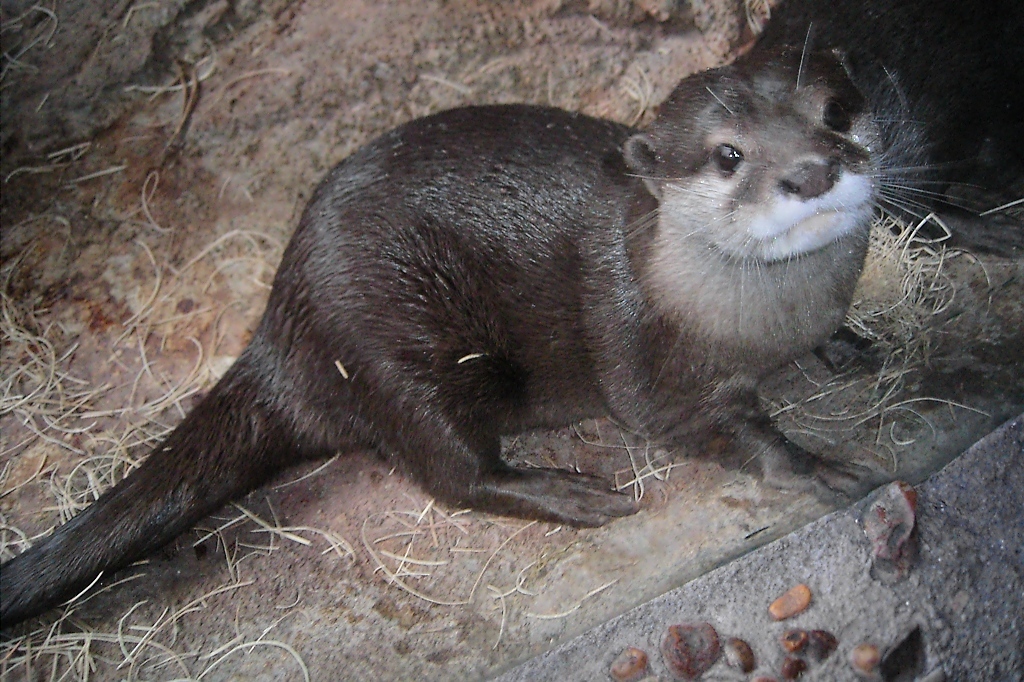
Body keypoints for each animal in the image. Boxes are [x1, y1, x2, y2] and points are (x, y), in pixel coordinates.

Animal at [0, 45, 880, 622]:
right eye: (728, 155)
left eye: (834, 113)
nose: (811, 170)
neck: (762, 325)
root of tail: (280, 327)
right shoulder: (652, 369)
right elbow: (721, 428)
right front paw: (819, 464)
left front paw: (848, 345)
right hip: (391, 354)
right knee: (451, 471)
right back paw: (570, 492)